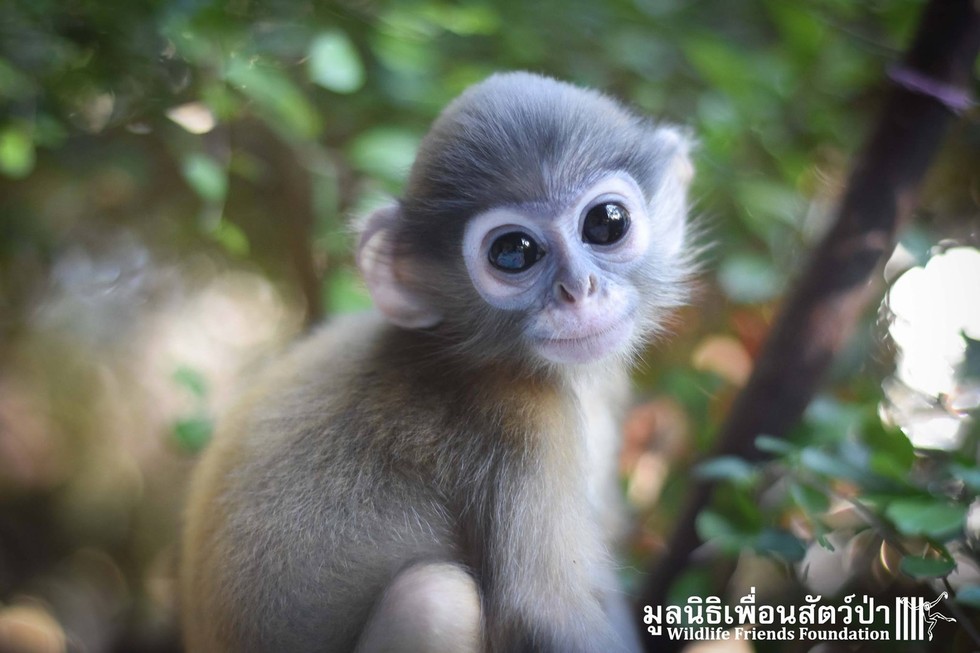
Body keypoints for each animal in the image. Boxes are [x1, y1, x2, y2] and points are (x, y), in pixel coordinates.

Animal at [180, 72, 692, 652]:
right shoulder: (521, 419)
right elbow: (544, 616)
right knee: (435, 595)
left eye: (607, 223)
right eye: (514, 251)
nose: (578, 290)